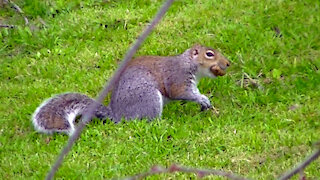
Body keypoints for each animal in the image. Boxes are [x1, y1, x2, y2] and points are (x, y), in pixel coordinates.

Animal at [32, 44, 230, 135]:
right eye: (209, 54)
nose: (228, 63)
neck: (188, 63)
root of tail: (118, 115)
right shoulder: (178, 78)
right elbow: (182, 92)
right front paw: (202, 99)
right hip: (148, 97)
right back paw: (162, 124)